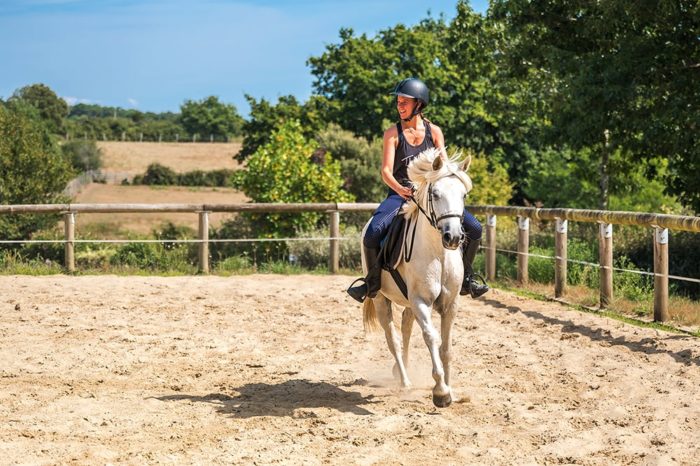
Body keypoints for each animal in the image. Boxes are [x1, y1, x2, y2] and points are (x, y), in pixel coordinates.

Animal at [360, 147, 470, 406]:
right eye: (436, 194)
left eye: (463, 195)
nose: (453, 237)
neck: (438, 253)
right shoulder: (421, 302)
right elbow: (431, 338)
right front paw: (440, 391)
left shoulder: (451, 304)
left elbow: (447, 347)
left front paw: (451, 390)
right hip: (381, 299)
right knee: (393, 339)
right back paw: (405, 381)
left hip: (408, 302)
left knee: (406, 328)